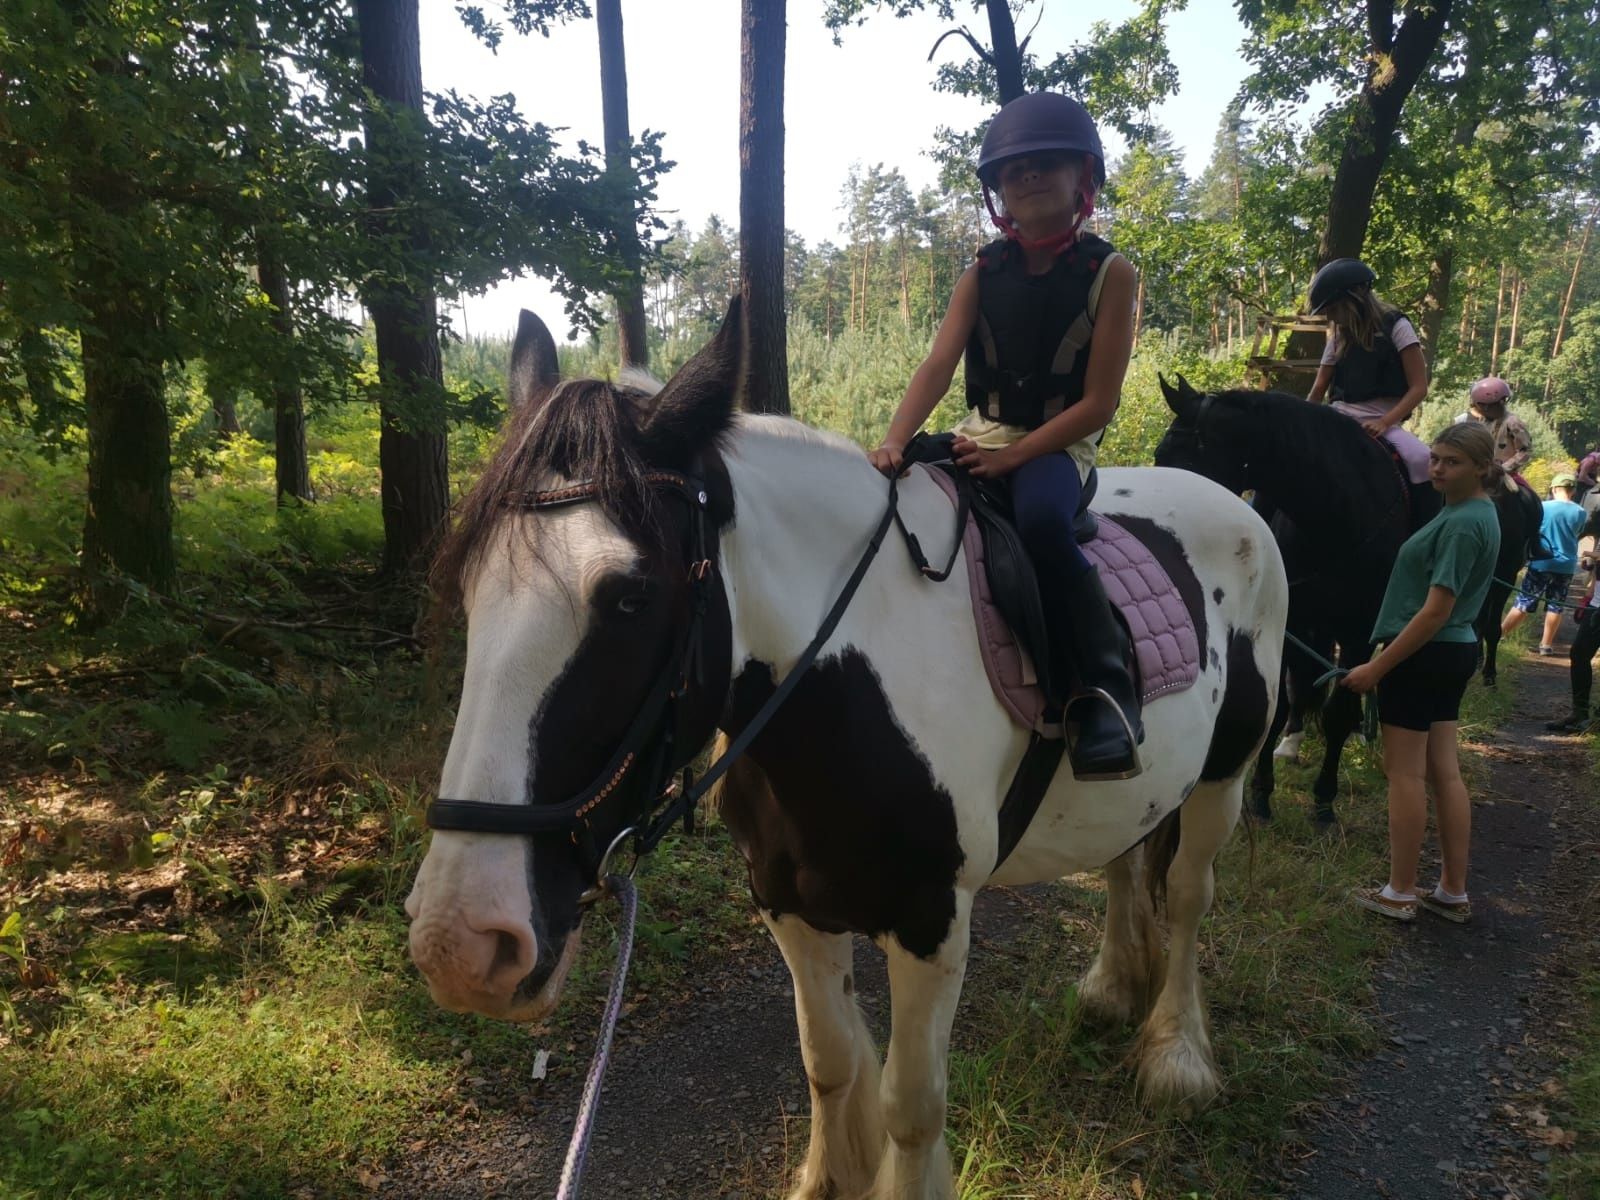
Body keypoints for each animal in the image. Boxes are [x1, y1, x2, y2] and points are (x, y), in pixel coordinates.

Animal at [409, 305, 1286, 1196]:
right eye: (470, 587)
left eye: (630, 596)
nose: (461, 943)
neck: (850, 684)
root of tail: (1235, 505)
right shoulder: (786, 901)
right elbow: (828, 1061)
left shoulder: (934, 922)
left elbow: (911, 1104)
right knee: (1123, 858)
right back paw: (1112, 986)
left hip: (1223, 778)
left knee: (1189, 896)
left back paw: (1176, 1054)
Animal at [1152, 377, 1536, 825]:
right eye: (1161, 455)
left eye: (1184, 458)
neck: (1332, 513)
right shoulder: (1293, 624)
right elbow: (1283, 702)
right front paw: (1263, 795)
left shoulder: (1358, 631)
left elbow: (1338, 710)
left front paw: (1323, 800)